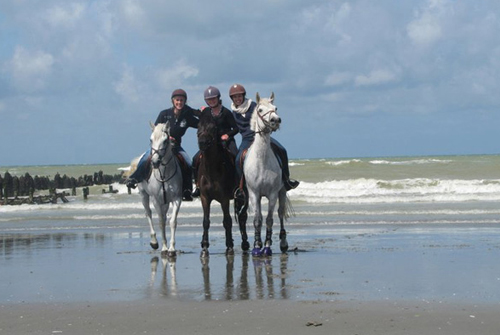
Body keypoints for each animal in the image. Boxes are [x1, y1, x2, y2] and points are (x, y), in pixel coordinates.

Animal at [136, 122, 183, 258]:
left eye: (165, 140)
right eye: (150, 139)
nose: (155, 162)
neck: (164, 174)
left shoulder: (177, 199)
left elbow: (172, 221)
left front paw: (171, 249)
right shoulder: (156, 200)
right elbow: (161, 222)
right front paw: (164, 248)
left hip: (165, 202)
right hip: (144, 195)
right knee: (148, 213)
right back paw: (154, 242)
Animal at [196, 111, 249, 258]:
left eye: (213, 128)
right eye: (198, 127)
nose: (202, 143)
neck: (212, 170)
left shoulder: (224, 198)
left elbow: (227, 221)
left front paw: (229, 247)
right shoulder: (205, 198)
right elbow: (206, 221)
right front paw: (204, 247)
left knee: (242, 217)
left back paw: (245, 243)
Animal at [244, 93, 292, 258]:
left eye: (275, 108)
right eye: (260, 109)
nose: (275, 120)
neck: (262, 161)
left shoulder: (272, 194)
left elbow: (270, 220)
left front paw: (267, 247)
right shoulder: (254, 194)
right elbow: (257, 220)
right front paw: (257, 246)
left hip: (282, 192)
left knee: (280, 214)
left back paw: (283, 243)